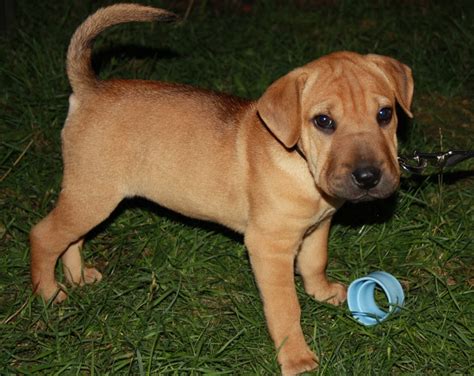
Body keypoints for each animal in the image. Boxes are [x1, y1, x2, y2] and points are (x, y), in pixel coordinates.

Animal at [31, 3, 412, 376]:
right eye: (323, 121)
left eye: (384, 114)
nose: (368, 177)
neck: (299, 162)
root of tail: (89, 89)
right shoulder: (268, 247)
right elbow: (285, 307)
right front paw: (296, 358)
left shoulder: (317, 227)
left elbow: (315, 263)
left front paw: (322, 293)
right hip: (94, 194)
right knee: (44, 235)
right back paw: (49, 293)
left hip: (89, 197)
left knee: (71, 238)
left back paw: (78, 278)